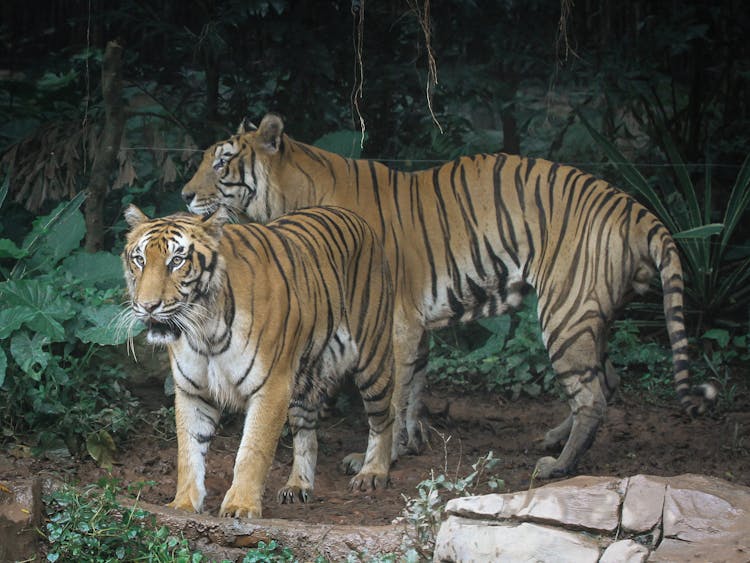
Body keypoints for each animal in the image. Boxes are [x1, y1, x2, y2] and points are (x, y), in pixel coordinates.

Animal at [120, 205, 396, 516]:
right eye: (140, 260)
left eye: (177, 261)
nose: (147, 306)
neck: (204, 330)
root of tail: (353, 215)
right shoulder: (192, 391)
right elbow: (189, 451)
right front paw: (184, 503)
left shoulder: (271, 387)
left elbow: (253, 450)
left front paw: (240, 505)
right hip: (304, 379)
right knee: (306, 433)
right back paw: (298, 485)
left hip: (373, 358)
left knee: (385, 417)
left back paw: (372, 473)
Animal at [181, 113, 716, 480]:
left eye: (222, 162)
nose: (185, 195)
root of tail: (634, 207)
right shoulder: (415, 326)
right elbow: (414, 389)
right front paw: (411, 444)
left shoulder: (391, 324)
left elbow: (392, 397)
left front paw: (381, 457)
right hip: (591, 317)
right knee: (609, 379)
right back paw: (555, 439)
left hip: (566, 312)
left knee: (592, 395)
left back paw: (558, 465)